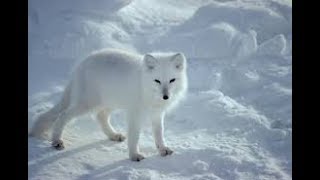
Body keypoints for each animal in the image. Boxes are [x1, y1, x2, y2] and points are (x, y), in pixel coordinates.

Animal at [30, 48, 188, 161]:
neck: (145, 87)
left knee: (100, 116)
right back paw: (56, 141)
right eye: (157, 81)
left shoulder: (157, 114)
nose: (166, 97)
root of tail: (80, 65)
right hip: (86, 104)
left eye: (172, 80)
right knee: (63, 115)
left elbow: (159, 134)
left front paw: (162, 149)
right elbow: (134, 136)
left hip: (109, 102)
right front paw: (134, 155)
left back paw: (113, 135)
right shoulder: (134, 114)